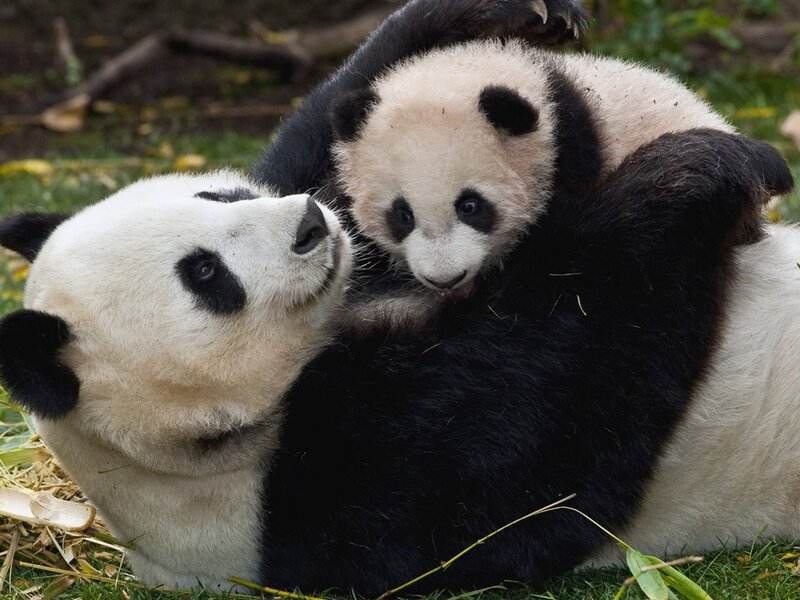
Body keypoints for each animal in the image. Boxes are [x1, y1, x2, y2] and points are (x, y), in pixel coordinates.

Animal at [0, 129, 794, 594]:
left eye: (217, 192)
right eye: (205, 275)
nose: (309, 223)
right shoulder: (333, 499)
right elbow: (565, 398)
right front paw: (701, 169)